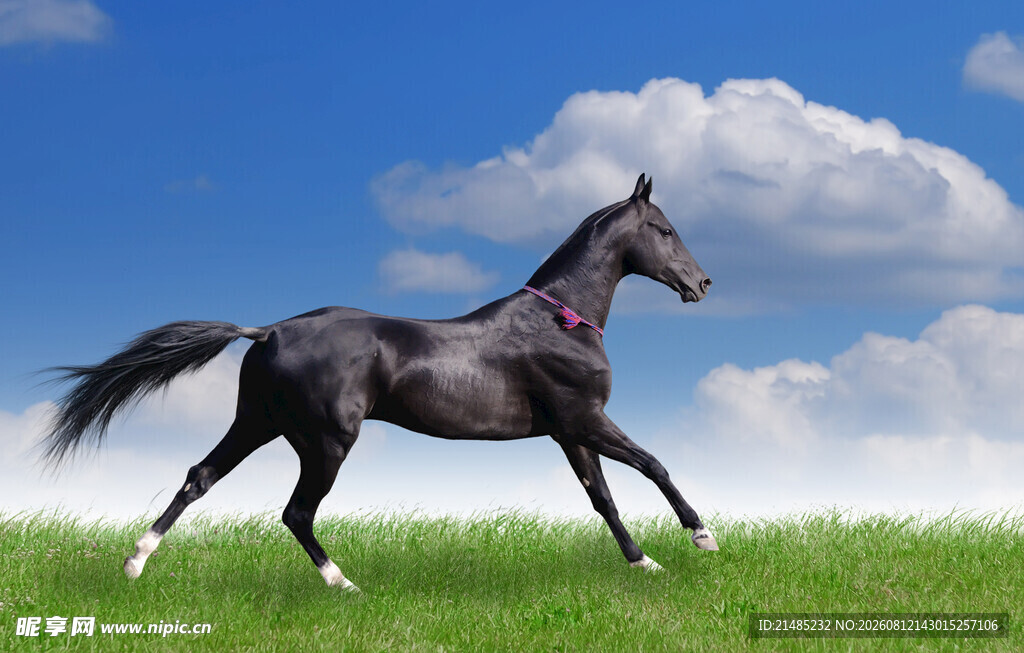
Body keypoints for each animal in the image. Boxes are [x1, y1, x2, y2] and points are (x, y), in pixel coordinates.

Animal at [42, 174, 716, 591]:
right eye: (664, 230)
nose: (703, 283)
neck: (561, 320)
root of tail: (268, 331)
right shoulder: (585, 419)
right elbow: (653, 464)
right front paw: (702, 537)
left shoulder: (569, 431)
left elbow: (603, 499)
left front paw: (645, 564)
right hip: (326, 441)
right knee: (295, 512)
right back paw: (343, 584)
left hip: (257, 423)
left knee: (198, 478)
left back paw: (135, 562)